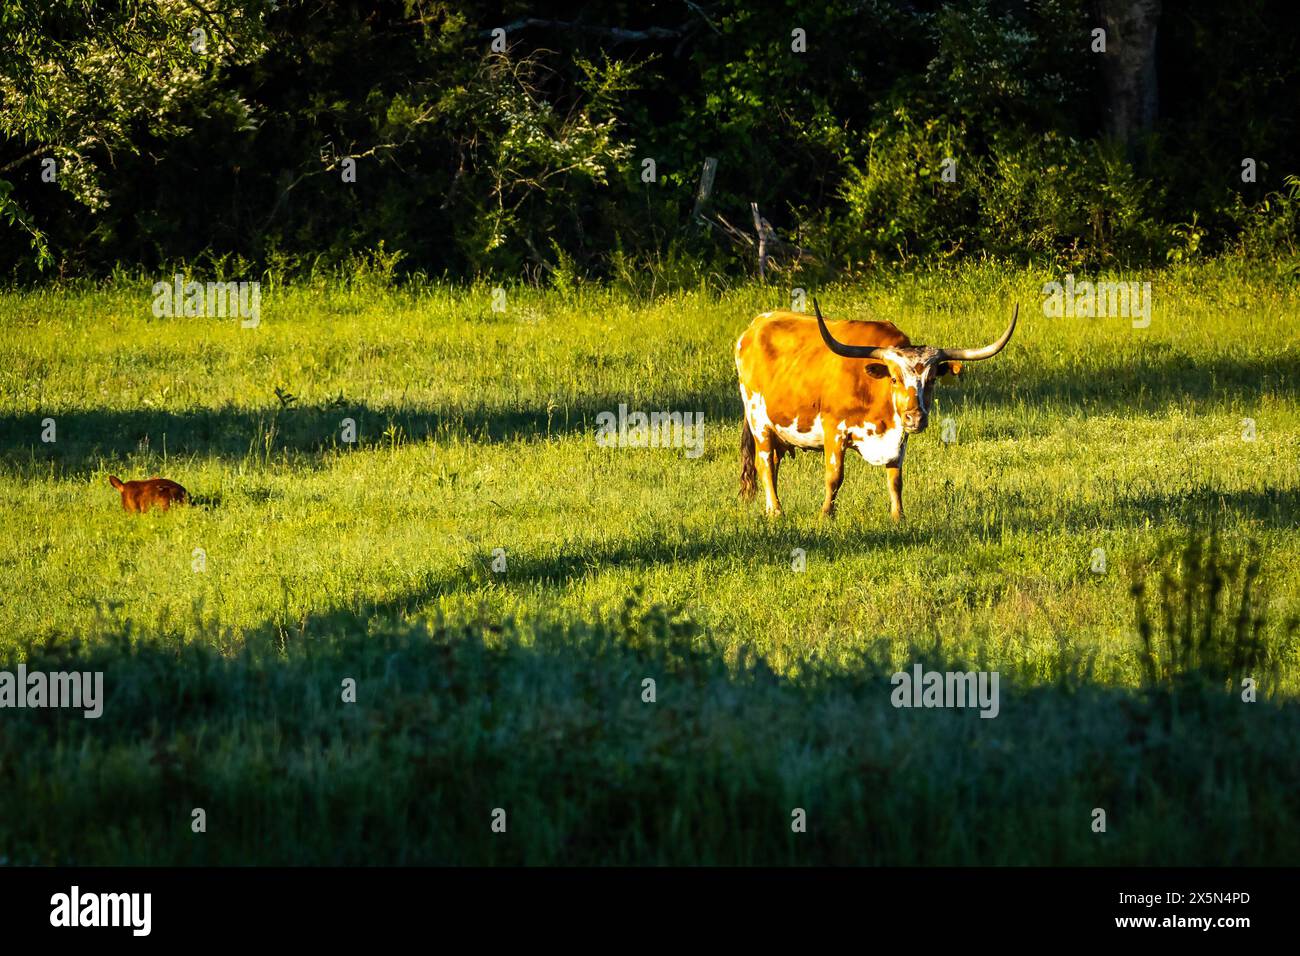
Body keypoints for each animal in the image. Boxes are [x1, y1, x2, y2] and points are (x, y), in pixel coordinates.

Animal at [735, 300, 1017, 520]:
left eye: (932, 379)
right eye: (894, 378)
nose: (915, 418)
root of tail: (755, 326)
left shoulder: (899, 437)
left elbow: (895, 479)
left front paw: (898, 516)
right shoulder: (834, 429)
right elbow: (834, 476)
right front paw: (826, 515)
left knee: (773, 462)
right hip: (758, 420)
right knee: (764, 464)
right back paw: (776, 511)